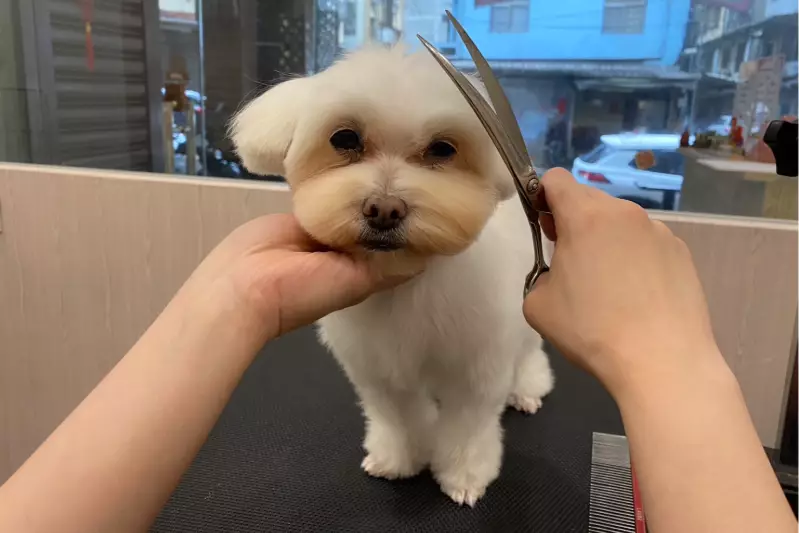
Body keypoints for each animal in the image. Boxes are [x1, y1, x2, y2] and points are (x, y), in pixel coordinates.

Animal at [231, 45, 554, 506]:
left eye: (442, 148)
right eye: (344, 139)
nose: (384, 210)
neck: (407, 288)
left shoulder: (475, 368)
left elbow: (467, 428)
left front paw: (464, 476)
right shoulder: (379, 371)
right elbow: (399, 418)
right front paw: (400, 460)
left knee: (529, 353)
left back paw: (527, 388)